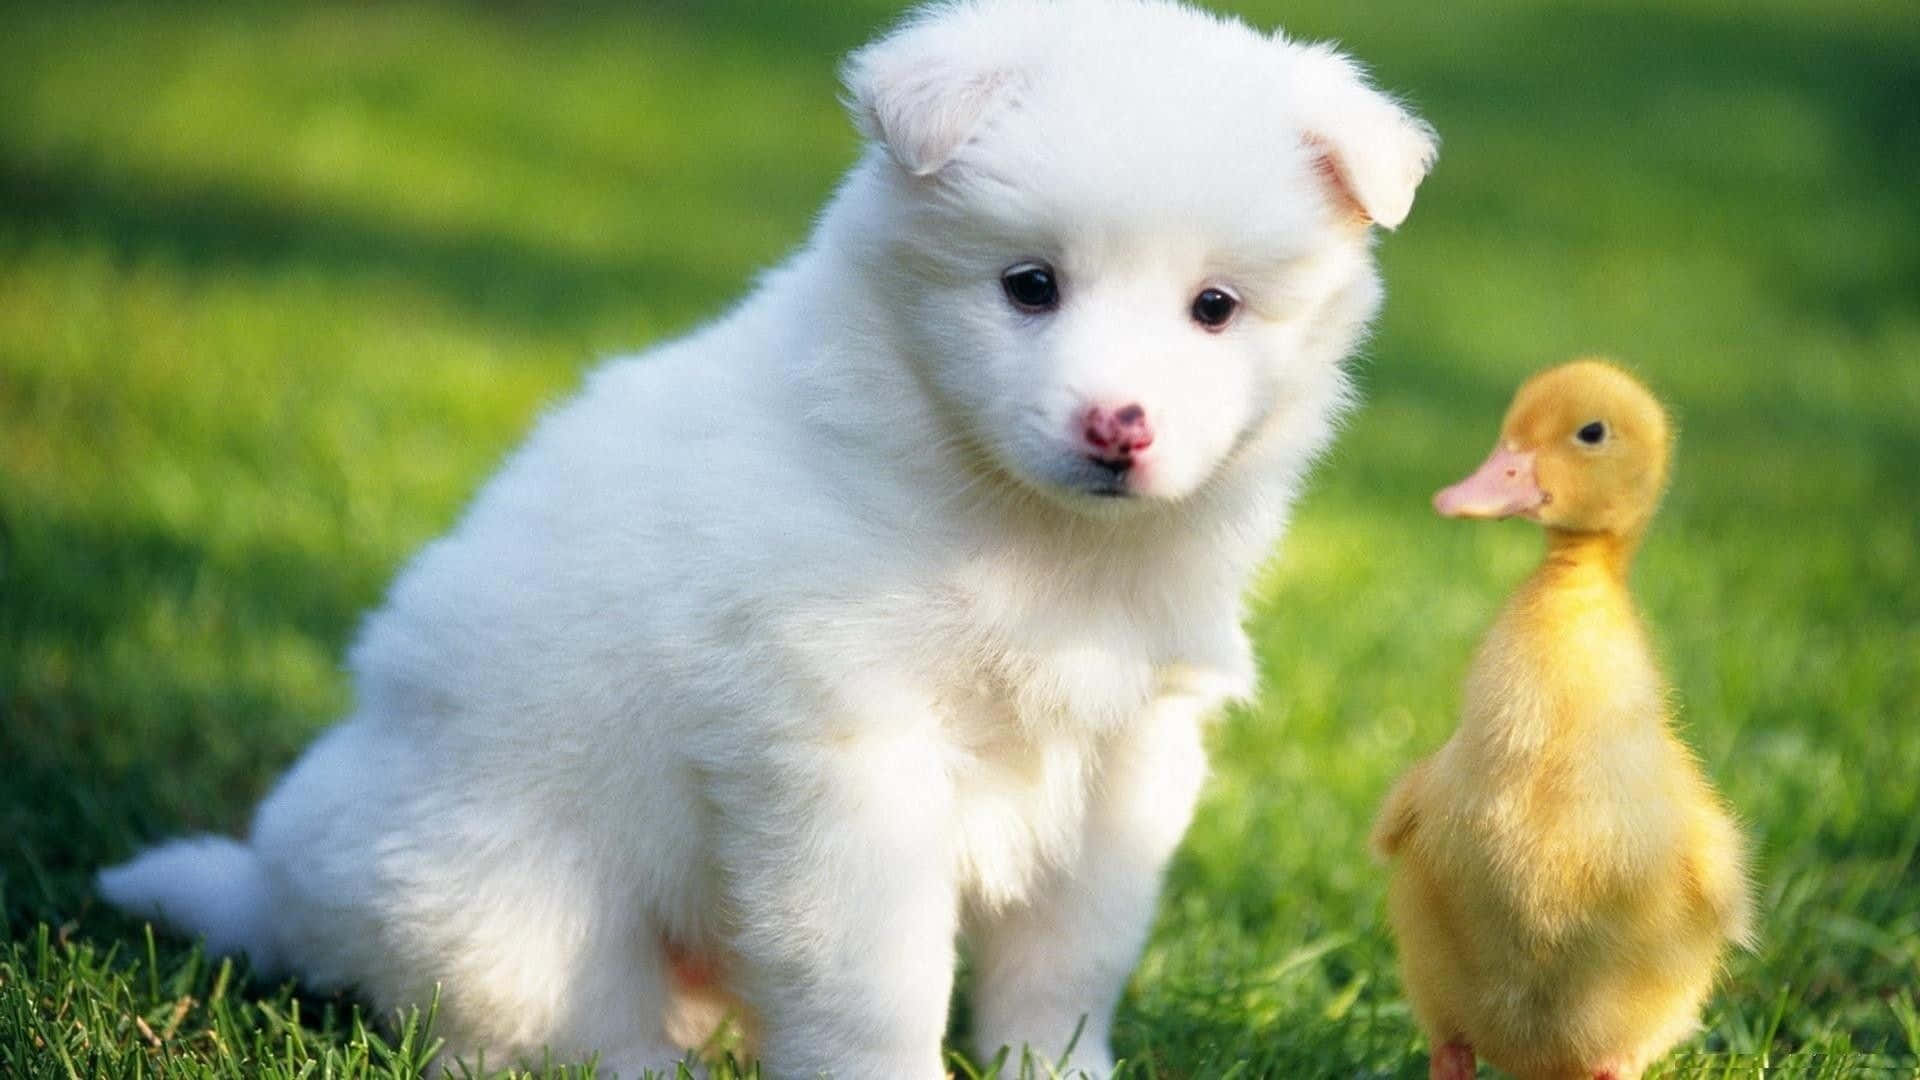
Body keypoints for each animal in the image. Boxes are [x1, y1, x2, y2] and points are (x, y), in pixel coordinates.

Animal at [97, 4, 1436, 1068]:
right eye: (1029, 286)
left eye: (1215, 307)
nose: (1119, 426)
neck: (1019, 529)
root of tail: (278, 885)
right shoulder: (845, 756)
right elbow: (876, 982)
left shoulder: (1128, 757)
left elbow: (1067, 962)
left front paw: (1053, 1068)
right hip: (509, 908)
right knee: (538, 1039)